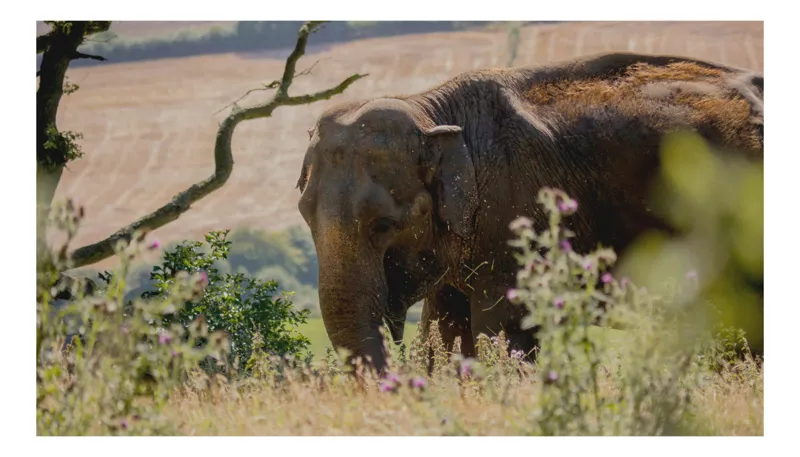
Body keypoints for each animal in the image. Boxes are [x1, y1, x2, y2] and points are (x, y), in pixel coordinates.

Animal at [294, 52, 764, 374]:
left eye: (385, 224)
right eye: (303, 213)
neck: (431, 110)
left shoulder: (515, 217)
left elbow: (500, 328)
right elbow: (446, 328)